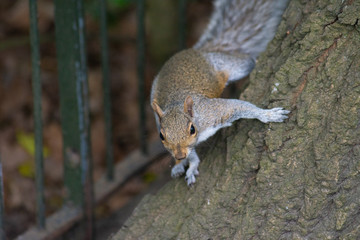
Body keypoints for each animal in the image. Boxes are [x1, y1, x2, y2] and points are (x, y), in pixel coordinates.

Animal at [150, 0, 292, 186]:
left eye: (192, 129)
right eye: (161, 136)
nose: (179, 155)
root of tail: (197, 51)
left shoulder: (213, 112)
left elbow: (238, 106)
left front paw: (267, 115)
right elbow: (193, 153)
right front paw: (190, 164)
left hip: (228, 66)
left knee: (247, 62)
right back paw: (178, 165)